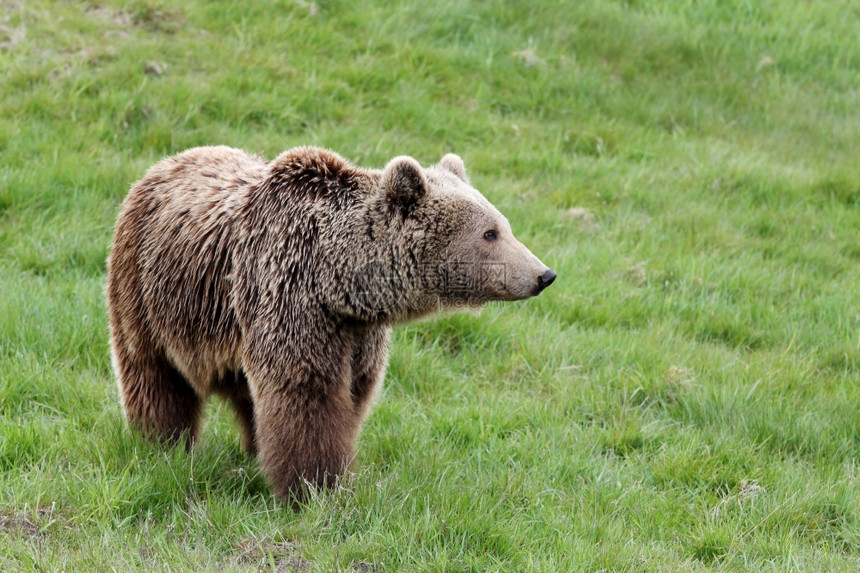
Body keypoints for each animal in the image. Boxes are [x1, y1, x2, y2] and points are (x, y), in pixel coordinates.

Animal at [106, 145, 556, 498]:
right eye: (490, 233)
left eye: (503, 225)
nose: (543, 275)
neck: (339, 281)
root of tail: (164, 164)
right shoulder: (290, 295)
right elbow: (307, 395)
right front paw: (318, 485)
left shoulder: (357, 334)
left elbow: (353, 392)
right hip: (149, 289)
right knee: (154, 373)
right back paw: (162, 442)